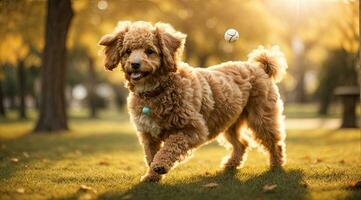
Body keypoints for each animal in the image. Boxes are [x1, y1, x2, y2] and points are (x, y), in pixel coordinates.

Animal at [98, 21, 286, 182]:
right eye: (127, 51)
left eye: (150, 51)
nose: (135, 64)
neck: (157, 90)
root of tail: (261, 68)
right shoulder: (148, 135)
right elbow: (150, 156)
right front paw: (151, 176)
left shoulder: (193, 128)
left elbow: (170, 146)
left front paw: (160, 165)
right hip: (228, 121)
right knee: (242, 144)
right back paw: (231, 164)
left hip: (261, 117)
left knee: (274, 142)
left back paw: (276, 165)